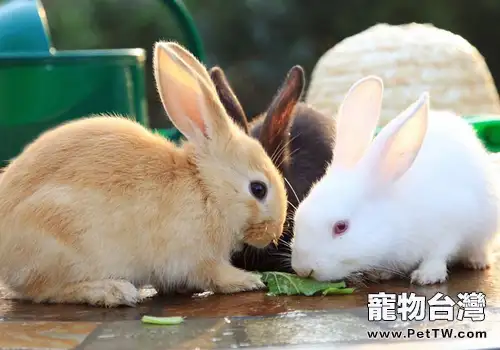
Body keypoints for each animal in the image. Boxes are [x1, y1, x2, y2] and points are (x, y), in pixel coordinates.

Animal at [0, 42, 286, 308]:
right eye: (258, 189)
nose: (274, 233)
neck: (206, 188)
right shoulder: (197, 257)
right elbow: (215, 275)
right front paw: (249, 280)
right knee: (45, 291)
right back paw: (113, 291)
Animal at [292, 76, 498, 284]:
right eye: (297, 214)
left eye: (341, 227)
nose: (303, 269)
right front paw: (380, 274)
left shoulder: (451, 225)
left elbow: (438, 254)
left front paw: (426, 276)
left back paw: (477, 261)